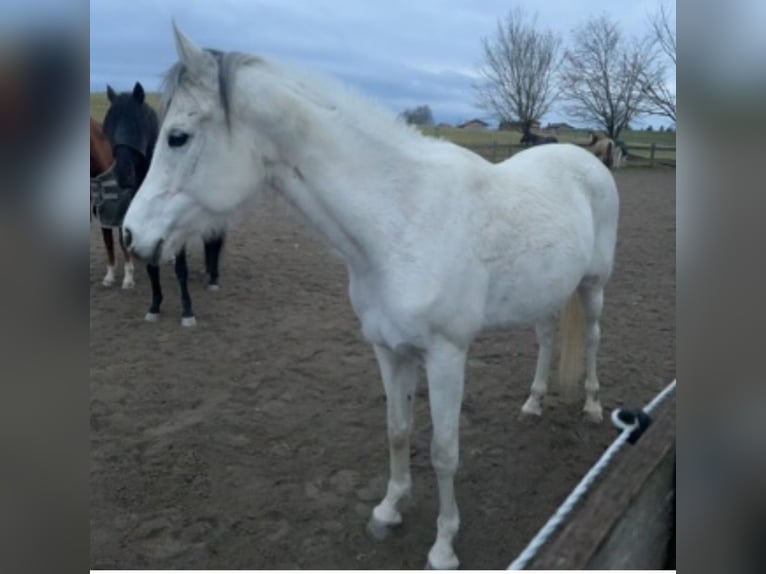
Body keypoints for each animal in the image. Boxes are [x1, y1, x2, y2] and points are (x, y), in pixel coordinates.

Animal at [91, 117, 136, 288]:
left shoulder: (122, 215)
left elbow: (122, 242)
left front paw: (128, 278)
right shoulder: (104, 216)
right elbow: (108, 243)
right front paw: (109, 277)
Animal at [101, 82, 226, 326]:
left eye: (137, 123)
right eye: (108, 125)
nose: (122, 175)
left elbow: (181, 269)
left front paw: (187, 312)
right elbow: (152, 266)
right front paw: (155, 306)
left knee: (215, 239)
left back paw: (213, 278)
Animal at [122, 26, 620, 569]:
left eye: (178, 136)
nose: (130, 236)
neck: (400, 217)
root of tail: (586, 158)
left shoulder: (446, 356)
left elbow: (444, 450)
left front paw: (443, 546)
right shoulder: (388, 349)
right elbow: (397, 429)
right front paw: (388, 510)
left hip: (594, 287)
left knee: (594, 339)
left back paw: (593, 406)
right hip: (547, 294)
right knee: (548, 338)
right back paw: (532, 403)